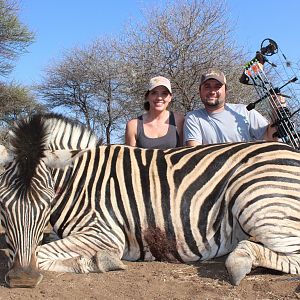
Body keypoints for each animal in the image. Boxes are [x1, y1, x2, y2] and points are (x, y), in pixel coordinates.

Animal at [0, 113, 300, 288]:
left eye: (46, 201)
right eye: (3, 204)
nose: (23, 279)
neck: (79, 181)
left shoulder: (105, 233)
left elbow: (39, 253)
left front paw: (100, 261)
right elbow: (28, 249)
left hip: (255, 198)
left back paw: (239, 261)